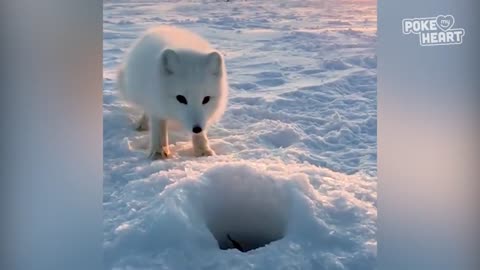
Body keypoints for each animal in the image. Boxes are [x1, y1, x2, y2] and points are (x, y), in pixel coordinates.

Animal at [117, 25, 228, 158]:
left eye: (206, 99)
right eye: (181, 98)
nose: (196, 128)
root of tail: (161, 27)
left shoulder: (202, 118)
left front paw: (203, 150)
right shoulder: (156, 105)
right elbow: (158, 129)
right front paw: (159, 152)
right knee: (146, 109)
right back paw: (142, 124)